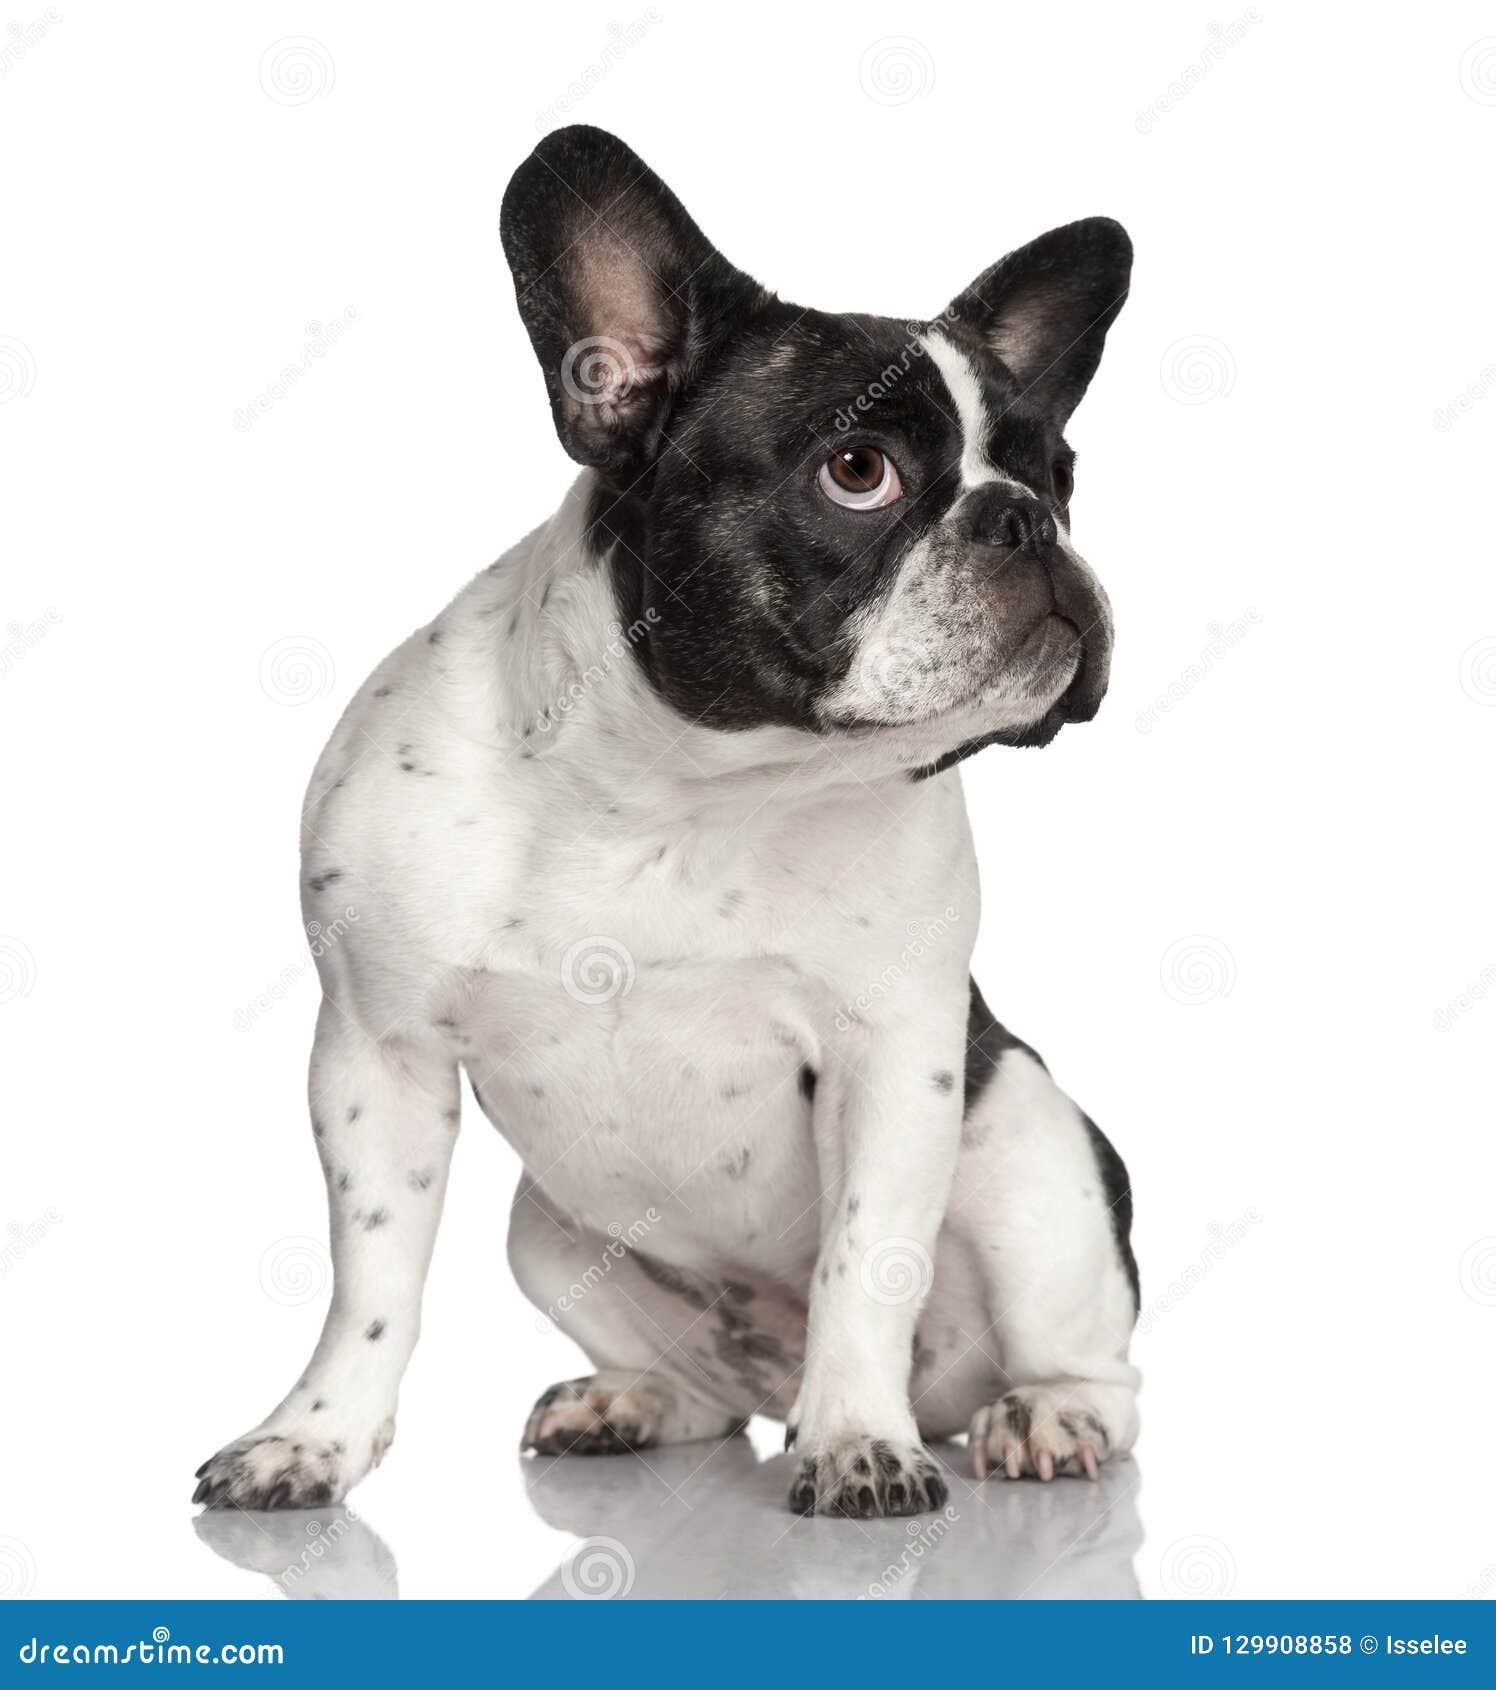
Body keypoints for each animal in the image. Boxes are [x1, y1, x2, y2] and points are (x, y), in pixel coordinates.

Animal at [192, 119, 1135, 1521]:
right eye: (858, 471)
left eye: (1059, 476)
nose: (1022, 517)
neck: (674, 785)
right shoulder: (376, 1051)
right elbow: (371, 1280)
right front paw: (310, 1437)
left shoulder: (892, 1056)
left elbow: (865, 1259)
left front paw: (857, 1443)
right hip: (543, 1230)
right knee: (702, 1396)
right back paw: (630, 1400)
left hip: (1028, 1151)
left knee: (1090, 1366)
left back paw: (1040, 1419)